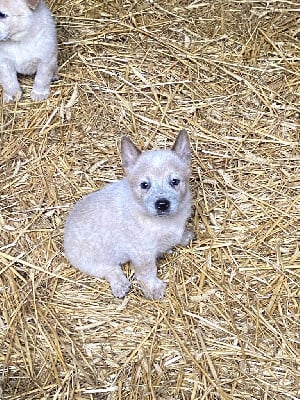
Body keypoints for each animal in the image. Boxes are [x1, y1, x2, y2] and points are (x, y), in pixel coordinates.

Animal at [64, 131, 193, 300]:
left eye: (175, 181)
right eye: (144, 185)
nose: (162, 204)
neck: (164, 222)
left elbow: (177, 236)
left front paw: (185, 236)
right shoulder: (142, 253)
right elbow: (147, 272)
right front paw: (153, 289)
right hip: (90, 261)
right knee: (109, 269)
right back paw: (120, 285)